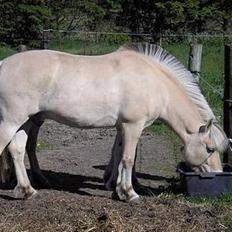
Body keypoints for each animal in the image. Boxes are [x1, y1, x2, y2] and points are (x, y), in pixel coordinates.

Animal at [0, 43, 228, 201]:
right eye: (210, 148)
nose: (218, 173)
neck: (154, 83)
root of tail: (3, 65)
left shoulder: (122, 127)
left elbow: (118, 154)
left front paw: (115, 187)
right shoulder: (133, 125)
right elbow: (128, 159)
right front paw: (129, 193)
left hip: (25, 122)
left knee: (18, 150)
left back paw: (27, 190)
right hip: (11, 122)